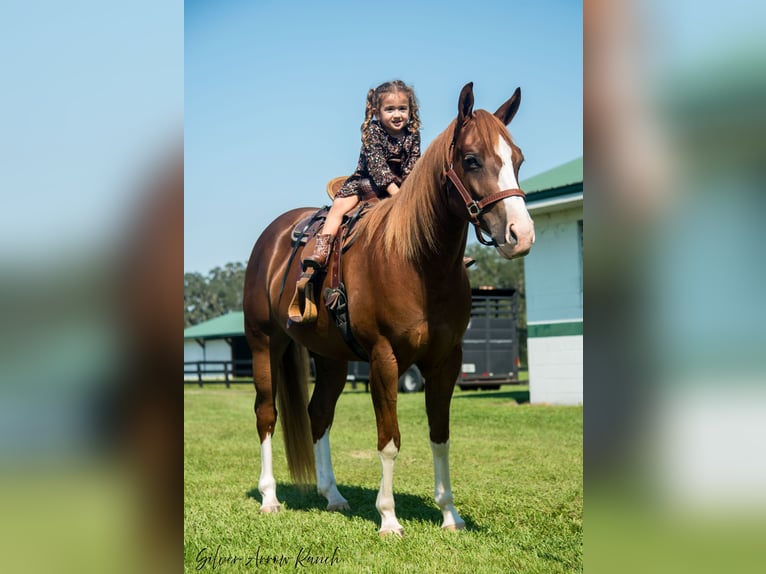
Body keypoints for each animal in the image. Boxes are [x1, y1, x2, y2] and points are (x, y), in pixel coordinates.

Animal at [244, 83, 536, 536]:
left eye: (517, 159)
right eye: (472, 159)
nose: (520, 235)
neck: (416, 262)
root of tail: (270, 239)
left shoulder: (446, 361)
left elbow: (440, 435)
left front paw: (450, 515)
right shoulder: (384, 359)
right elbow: (389, 440)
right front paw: (389, 518)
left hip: (330, 358)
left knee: (318, 414)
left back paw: (333, 496)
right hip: (264, 344)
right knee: (266, 414)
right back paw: (270, 498)